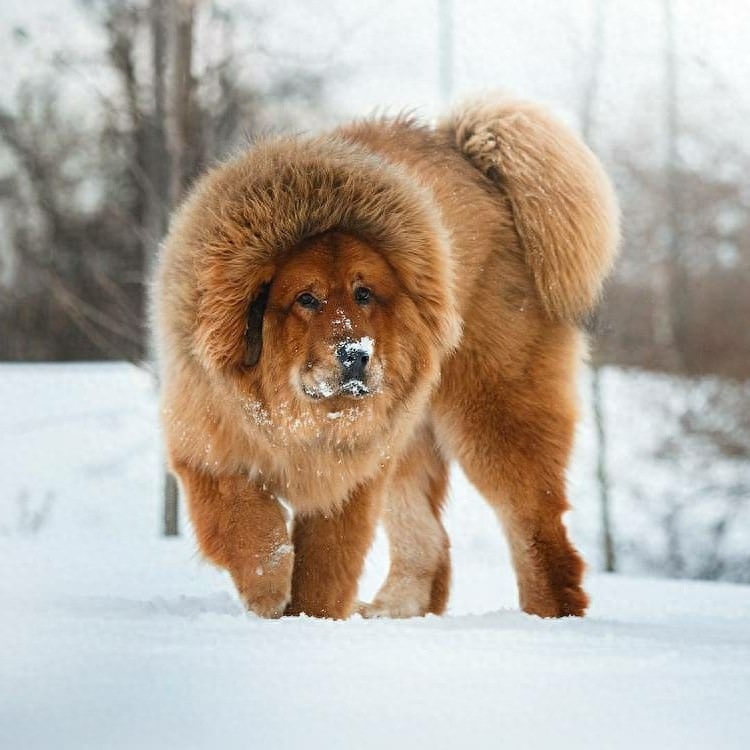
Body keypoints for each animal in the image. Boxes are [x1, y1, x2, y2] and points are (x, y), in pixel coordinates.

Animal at [151, 97, 616, 620]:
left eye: (364, 294)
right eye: (306, 299)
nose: (356, 354)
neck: (297, 418)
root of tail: (474, 165)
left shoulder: (349, 480)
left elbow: (325, 564)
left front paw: (308, 616)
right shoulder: (207, 444)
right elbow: (246, 524)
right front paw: (270, 586)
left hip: (494, 416)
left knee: (535, 531)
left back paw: (545, 617)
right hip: (407, 441)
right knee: (429, 541)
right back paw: (392, 611)